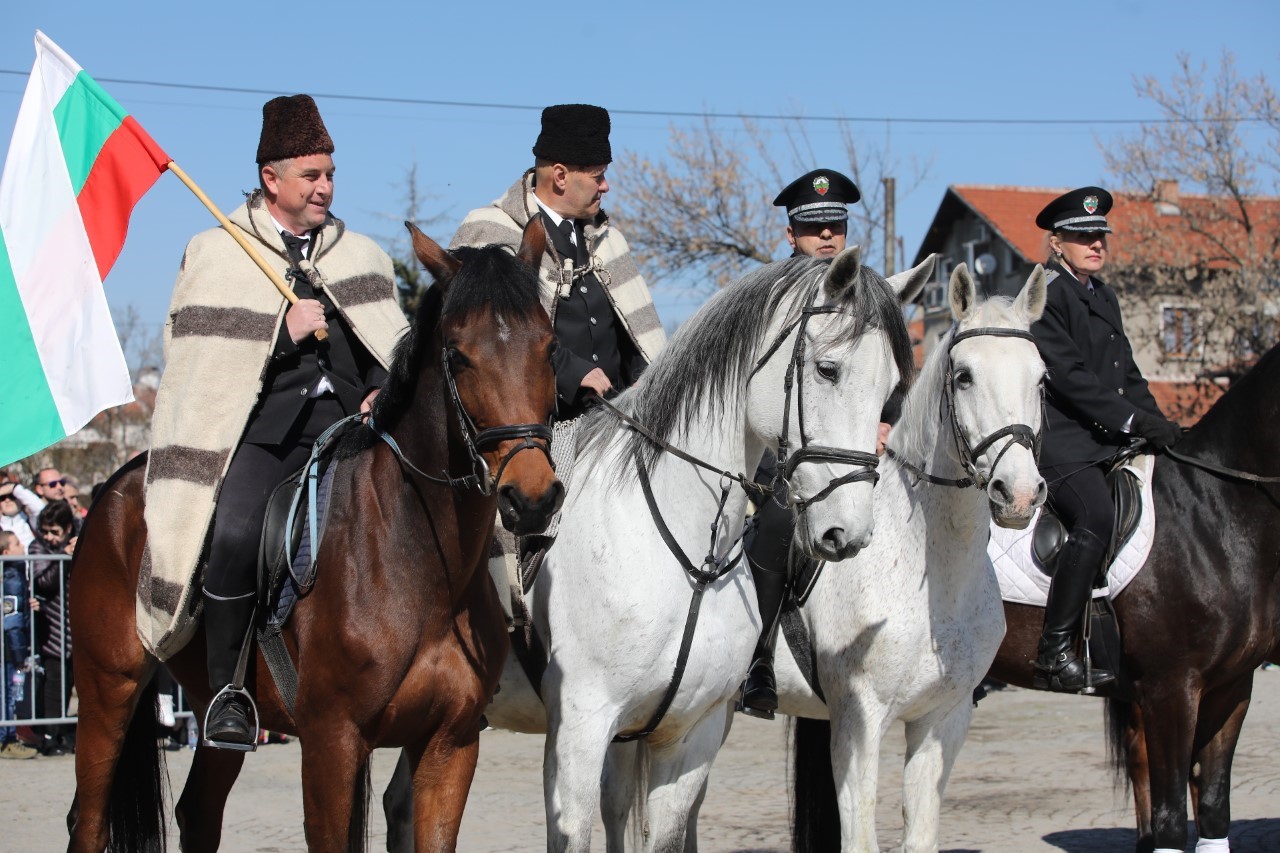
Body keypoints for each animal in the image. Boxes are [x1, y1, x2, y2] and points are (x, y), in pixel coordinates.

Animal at [67, 220, 563, 850]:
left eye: (549, 347)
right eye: (458, 354)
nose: (532, 497)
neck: (421, 562)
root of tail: (115, 486)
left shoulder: (449, 745)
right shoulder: (331, 741)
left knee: (197, 814)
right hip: (108, 689)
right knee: (90, 820)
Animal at [471, 244, 931, 845]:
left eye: (891, 391)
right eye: (827, 369)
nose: (848, 532)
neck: (688, 554)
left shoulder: (692, 733)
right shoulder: (579, 730)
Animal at [773, 262, 1054, 845]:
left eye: (1041, 379)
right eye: (964, 376)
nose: (1018, 494)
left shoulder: (942, 720)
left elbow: (920, 834)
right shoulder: (858, 723)